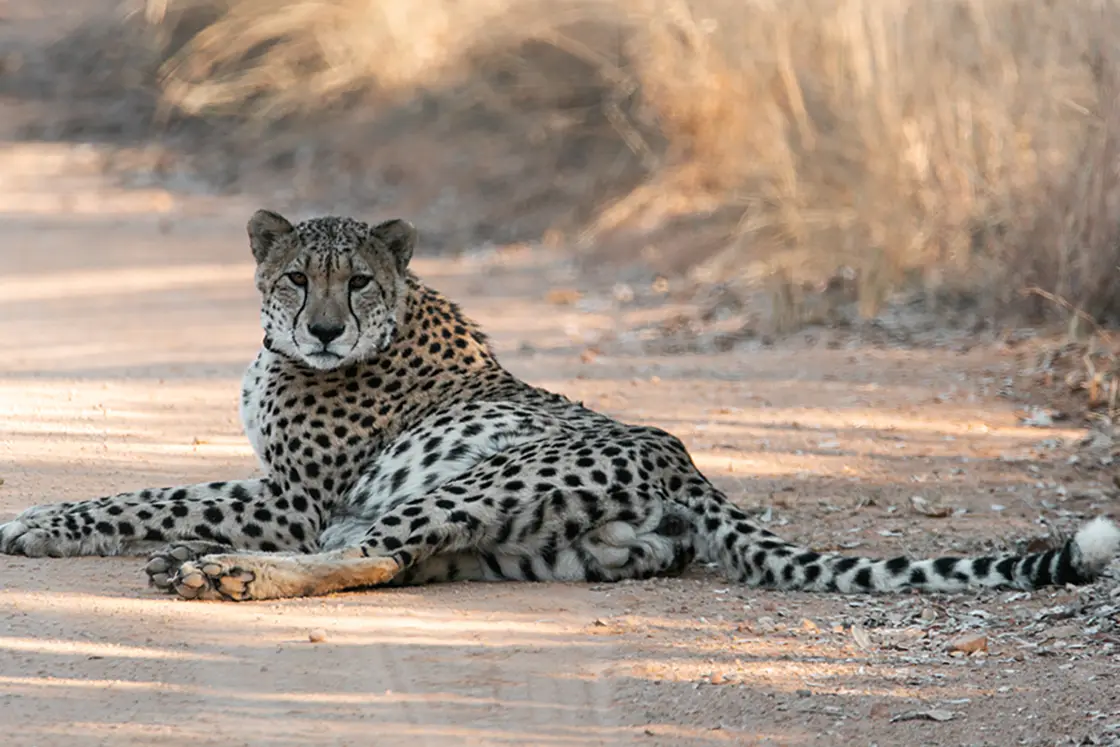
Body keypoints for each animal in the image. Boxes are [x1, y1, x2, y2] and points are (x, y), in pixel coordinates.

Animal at [2, 211, 1120, 600]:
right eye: (295, 279)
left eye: (355, 282)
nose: (320, 331)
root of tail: (682, 458)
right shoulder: (293, 492)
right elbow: (155, 494)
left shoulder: (294, 498)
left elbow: (150, 494)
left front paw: (37, 521)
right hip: (542, 546)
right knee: (396, 560)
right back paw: (205, 564)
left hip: (468, 484)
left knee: (362, 553)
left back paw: (217, 571)